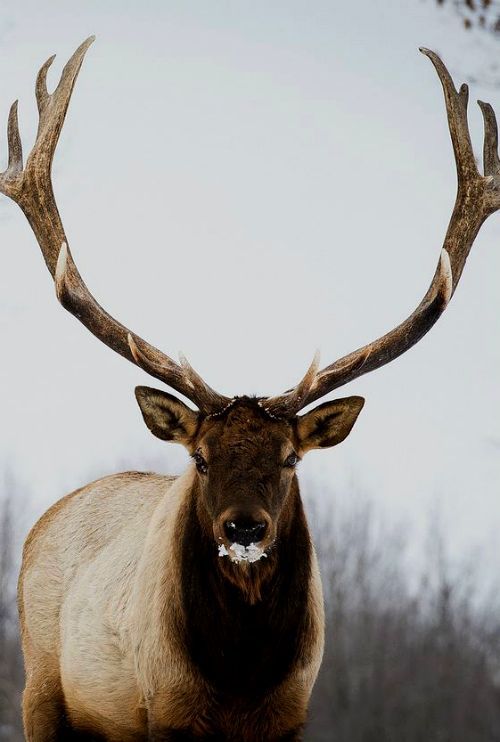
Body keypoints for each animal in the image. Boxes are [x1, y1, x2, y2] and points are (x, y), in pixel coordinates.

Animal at [0, 39, 498, 742]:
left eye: (289, 458)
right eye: (201, 458)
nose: (243, 527)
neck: (239, 679)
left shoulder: (290, 714)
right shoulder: (165, 710)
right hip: (40, 692)